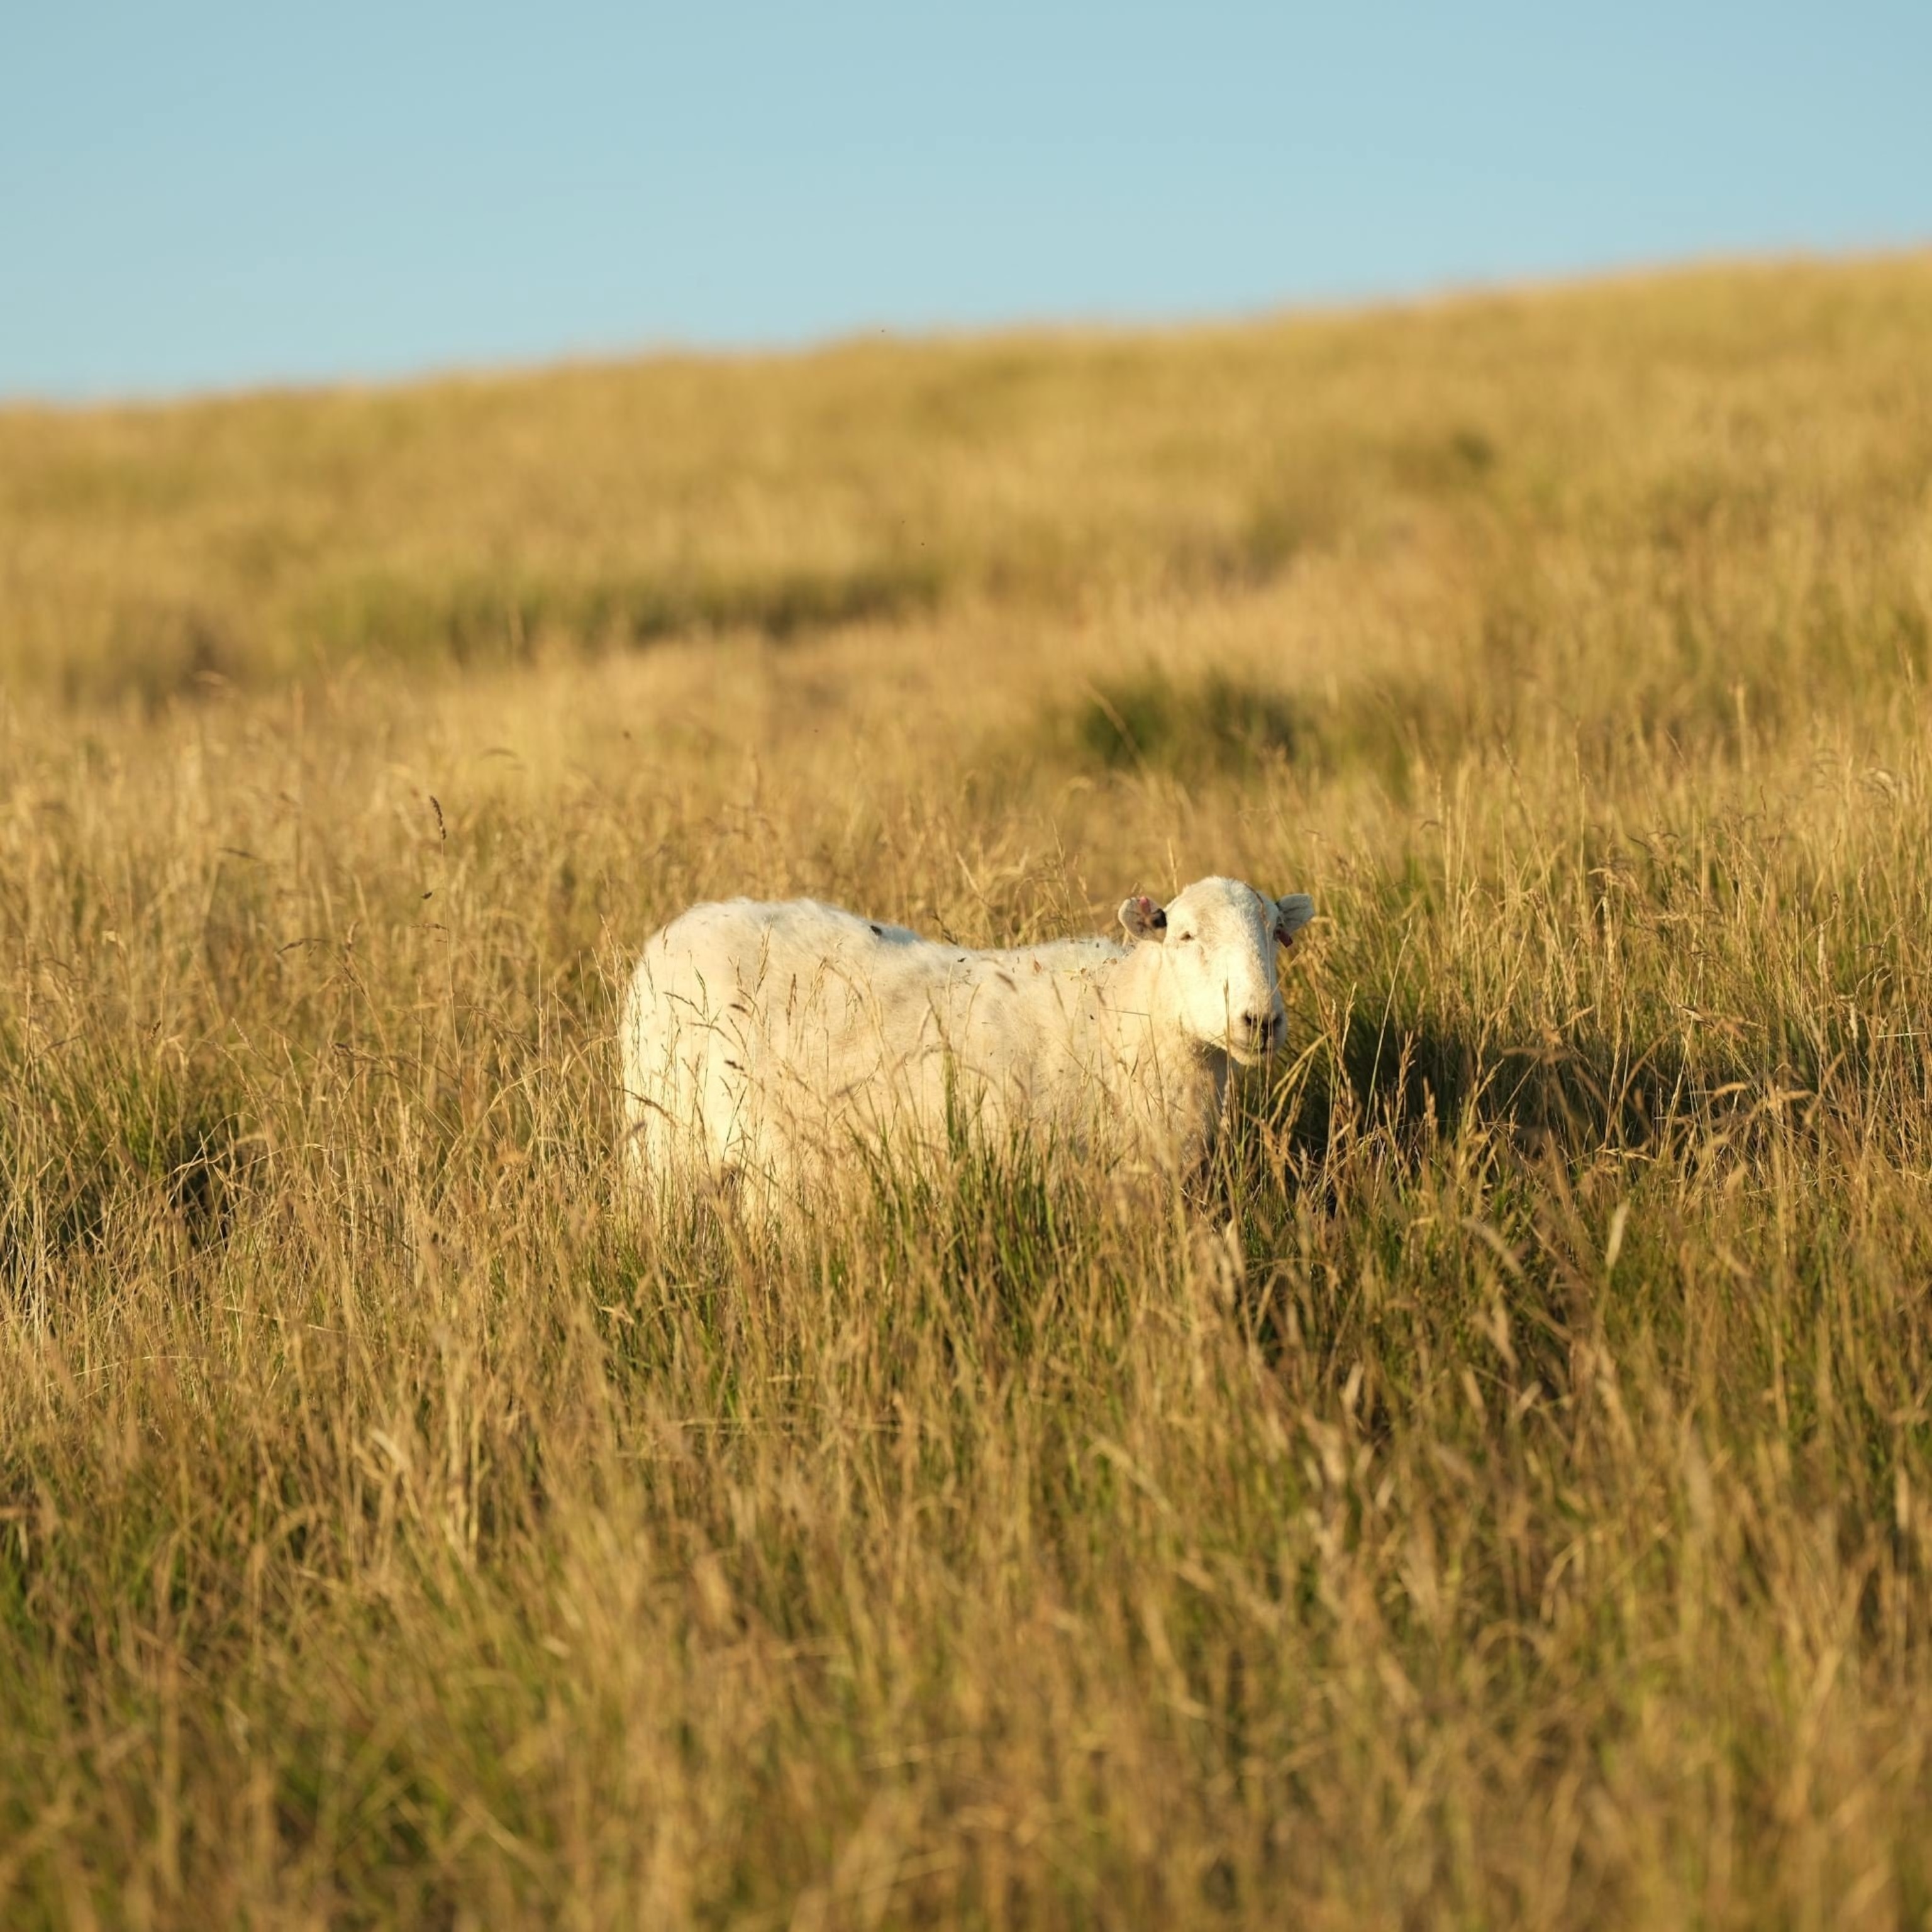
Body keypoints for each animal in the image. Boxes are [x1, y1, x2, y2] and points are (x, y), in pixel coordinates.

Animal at [620, 876, 1314, 1218]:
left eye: (1276, 934)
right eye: (1186, 937)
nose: (1260, 1020)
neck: (1126, 1017)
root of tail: (673, 933)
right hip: (662, 1151)